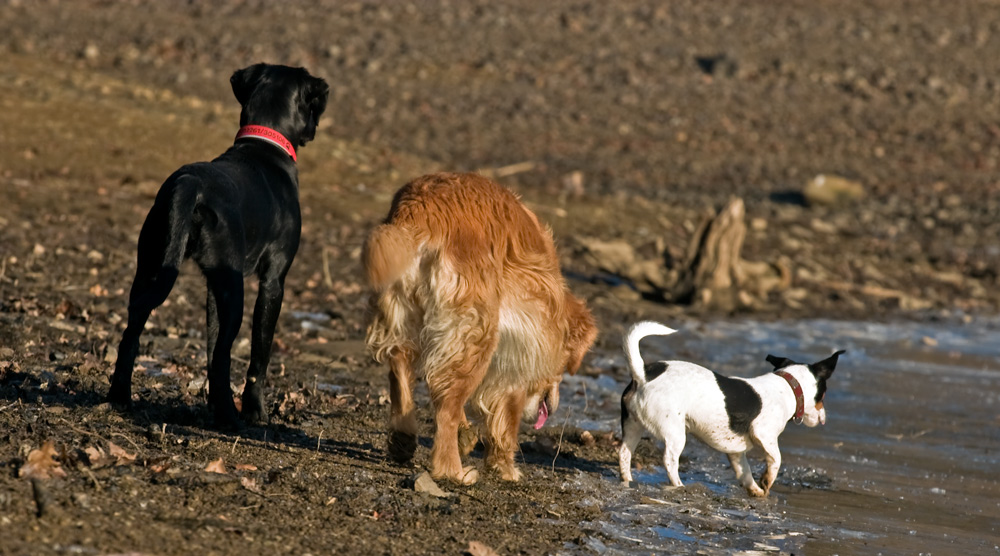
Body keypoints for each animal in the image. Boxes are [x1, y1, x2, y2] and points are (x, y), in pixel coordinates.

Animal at [109, 64, 330, 426]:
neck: (264, 145)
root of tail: (190, 184)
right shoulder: (273, 280)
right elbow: (258, 353)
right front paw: (256, 411)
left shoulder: (213, 284)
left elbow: (211, 346)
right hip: (234, 288)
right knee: (227, 351)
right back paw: (230, 416)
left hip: (151, 270)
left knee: (133, 332)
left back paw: (120, 397)